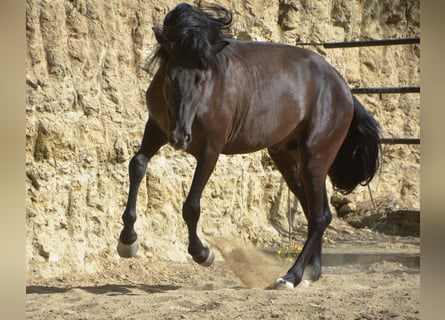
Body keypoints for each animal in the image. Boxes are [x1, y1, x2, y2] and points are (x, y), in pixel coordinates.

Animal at [117, 2, 378, 288]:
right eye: (171, 77)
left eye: (201, 78)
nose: (181, 137)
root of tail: (344, 90)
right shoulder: (156, 128)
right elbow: (137, 164)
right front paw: (127, 242)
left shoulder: (210, 150)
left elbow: (191, 206)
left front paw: (203, 253)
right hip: (289, 159)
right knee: (318, 212)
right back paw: (311, 272)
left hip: (314, 157)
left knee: (319, 217)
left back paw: (291, 276)